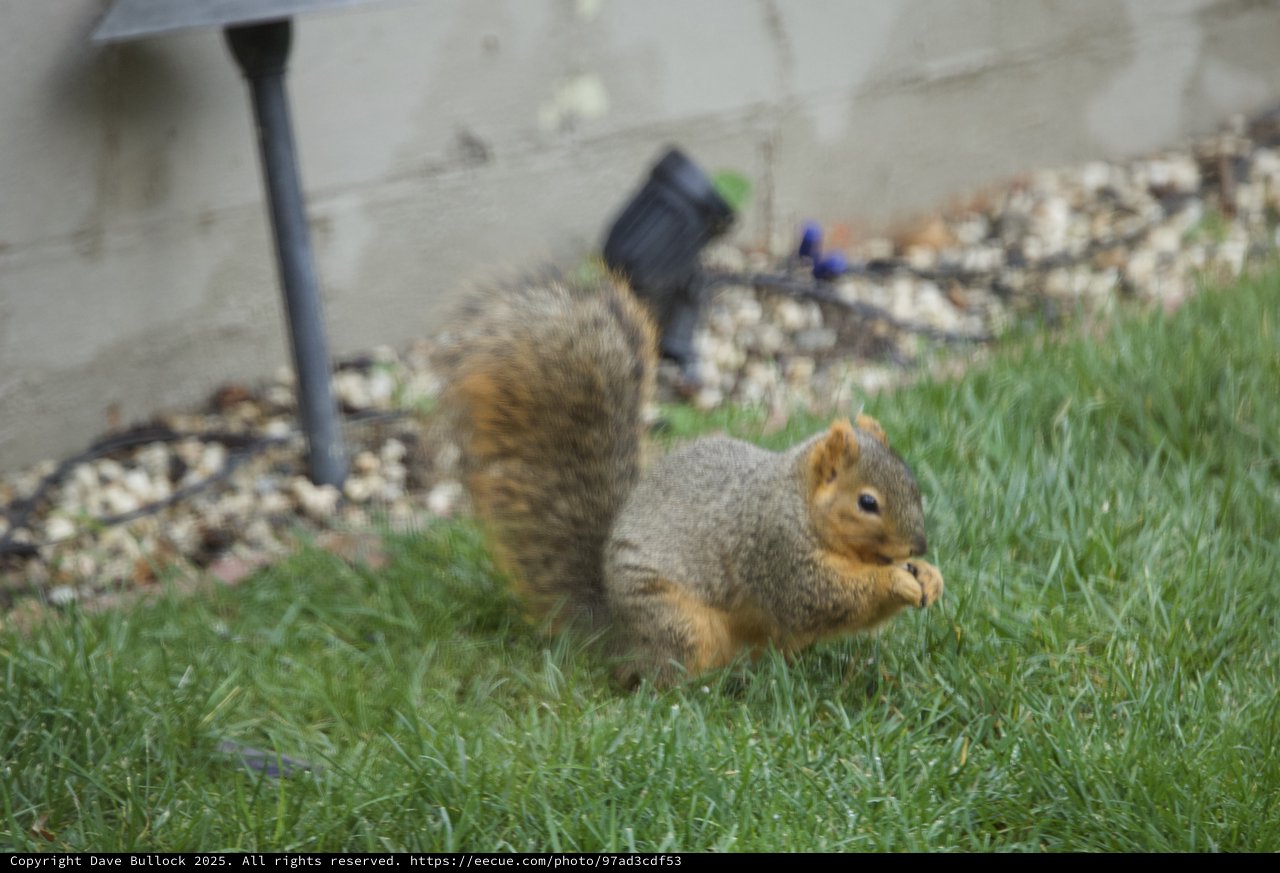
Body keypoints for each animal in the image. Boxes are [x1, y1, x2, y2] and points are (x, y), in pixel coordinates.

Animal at [438, 273, 944, 687]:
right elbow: (818, 599)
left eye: (912, 483)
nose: (917, 545)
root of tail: (620, 636)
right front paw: (894, 581)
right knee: (666, 673)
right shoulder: (774, 549)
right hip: (675, 618)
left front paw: (929, 576)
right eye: (867, 502)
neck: (796, 502)